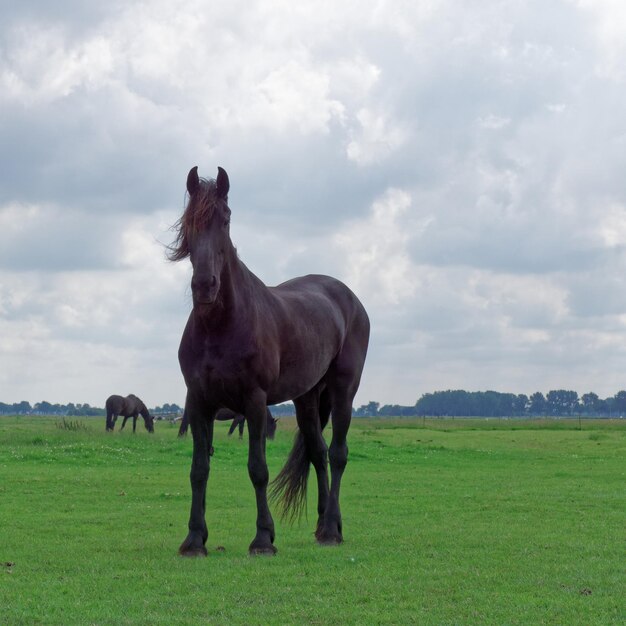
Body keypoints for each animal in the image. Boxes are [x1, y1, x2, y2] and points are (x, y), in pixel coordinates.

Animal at [168, 166, 368, 556]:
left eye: (226, 219)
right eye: (189, 222)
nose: (204, 285)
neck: (221, 325)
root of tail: (348, 297)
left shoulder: (255, 401)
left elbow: (258, 468)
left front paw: (263, 538)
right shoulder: (199, 402)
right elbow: (199, 469)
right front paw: (194, 539)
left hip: (343, 391)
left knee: (338, 454)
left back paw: (332, 530)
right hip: (307, 398)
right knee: (318, 453)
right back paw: (325, 523)